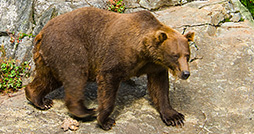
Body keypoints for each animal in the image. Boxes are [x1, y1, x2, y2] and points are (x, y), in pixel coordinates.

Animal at [24, 6, 194, 130]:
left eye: (187, 55)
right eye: (175, 55)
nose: (186, 73)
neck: (144, 51)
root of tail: (42, 32)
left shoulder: (154, 65)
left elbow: (160, 88)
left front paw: (174, 117)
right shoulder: (119, 54)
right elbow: (108, 79)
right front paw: (105, 120)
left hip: (48, 58)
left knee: (48, 78)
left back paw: (40, 99)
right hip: (69, 46)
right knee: (75, 75)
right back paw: (86, 111)